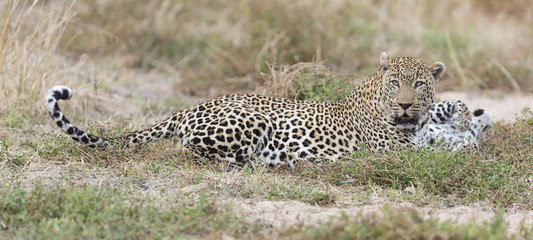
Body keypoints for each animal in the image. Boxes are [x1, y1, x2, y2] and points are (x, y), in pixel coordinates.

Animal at [45, 52, 490, 167]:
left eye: (419, 83)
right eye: (395, 82)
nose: (405, 104)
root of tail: (190, 107)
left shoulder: (423, 128)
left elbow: (451, 115)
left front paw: (468, 121)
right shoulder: (395, 151)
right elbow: (438, 151)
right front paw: (468, 141)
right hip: (250, 121)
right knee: (189, 149)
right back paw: (258, 163)